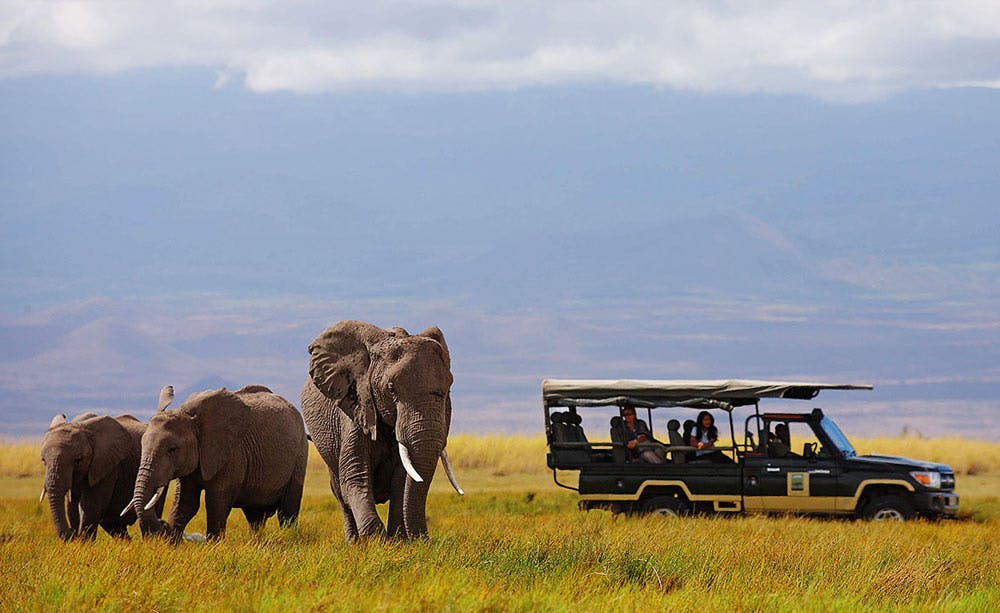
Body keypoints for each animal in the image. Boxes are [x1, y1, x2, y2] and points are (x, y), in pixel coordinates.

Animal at [39, 392, 171, 540]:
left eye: (78, 460)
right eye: (43, 461)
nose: (72, 534)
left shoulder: (107, 466)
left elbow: (91, 507)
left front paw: (83, 542)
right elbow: (72, 507)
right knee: (113, 525)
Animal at [300, 320, 464, 540]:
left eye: (449, 390)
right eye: (392, 389)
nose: (424, 539)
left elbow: (402, 481)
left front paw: (399, 541)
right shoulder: (356, 406)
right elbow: (355, 476)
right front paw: (377, 541)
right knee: (341, 494)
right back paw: (353, 542)